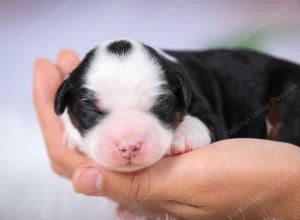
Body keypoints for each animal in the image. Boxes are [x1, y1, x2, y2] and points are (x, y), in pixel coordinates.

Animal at [54, 38, 300, 172]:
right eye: (91, 110)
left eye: (160, 106)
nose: (130, 146)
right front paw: (72, 136)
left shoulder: (209, 113)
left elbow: (199, 123)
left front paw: (181, 137)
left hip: (289, 93)